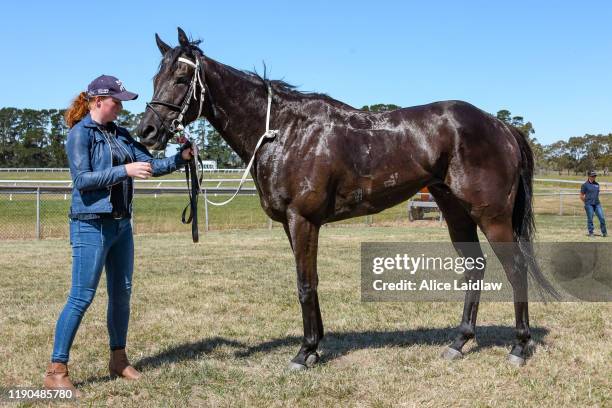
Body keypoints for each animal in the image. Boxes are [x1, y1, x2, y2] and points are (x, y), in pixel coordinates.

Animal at [136, 27, 556, 368]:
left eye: (181, 77)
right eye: (155, 76)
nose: (148, 131)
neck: (284, 132)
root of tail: (499, 125)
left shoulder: (302, 220)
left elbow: (305, 284)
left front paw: (304, 352)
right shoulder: (294, 226)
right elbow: (310, 282)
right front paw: (316, 346)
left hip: (492, 215)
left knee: (515, 269)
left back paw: (519, 347)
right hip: (456, 211)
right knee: (475, 268)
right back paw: (459, 342)